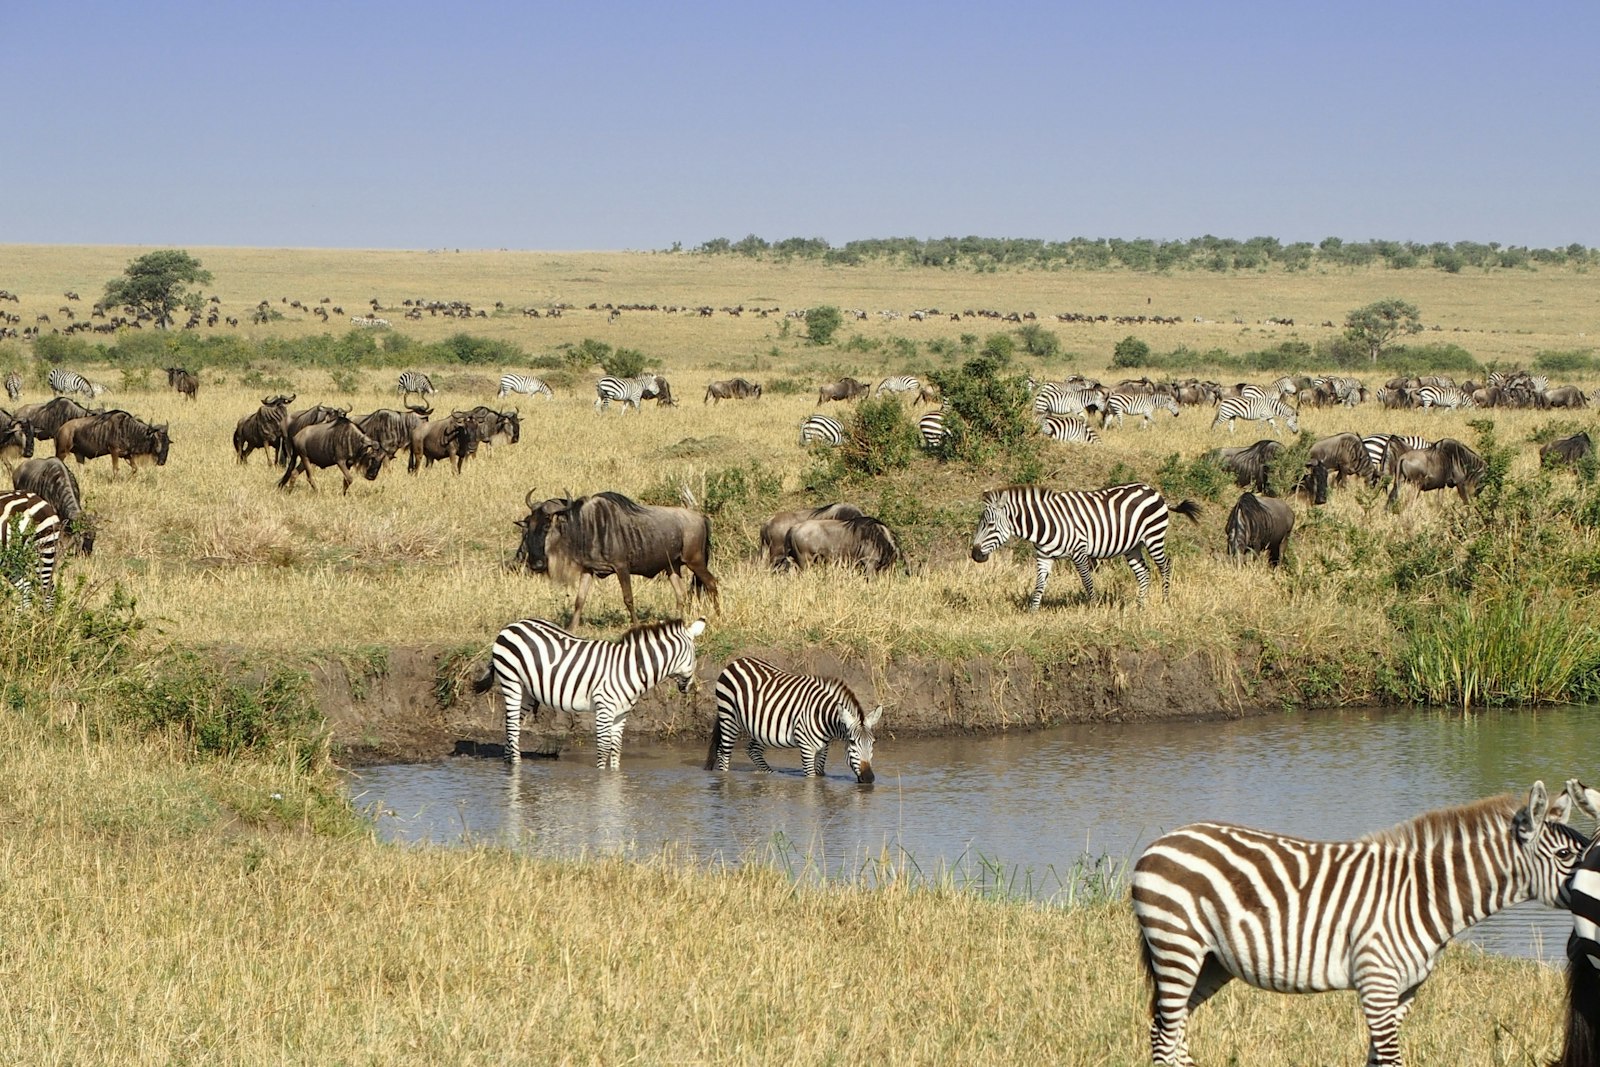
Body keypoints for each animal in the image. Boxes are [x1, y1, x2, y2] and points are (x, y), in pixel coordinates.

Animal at [473, 616, 706, 767]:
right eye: (695, 655)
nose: (689, 687)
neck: (630, 668)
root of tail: (511, 625)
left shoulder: (621, 714)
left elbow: (615, 749)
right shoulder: (605, 709)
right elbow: (603, 749)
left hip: (527, 691)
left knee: (511, 725)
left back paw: (508, 762)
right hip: (511, 681)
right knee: (512, 726)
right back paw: (517, 767)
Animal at [705, 657, 883, 783]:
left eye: (873, 743)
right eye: (852, 742)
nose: (869, 779)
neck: (824, 718)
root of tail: (735, 662)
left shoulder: (823, 748)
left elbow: (820, 774)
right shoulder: (806, 747)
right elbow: (811, 779)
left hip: (761, 728)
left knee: (753, 750)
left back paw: (771, 776)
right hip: (729, 717)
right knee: (724, 754)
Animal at [969, 483, 1201, 609]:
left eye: (990, 525)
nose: (974, 554)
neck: (1046, 523)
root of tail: (1154, 491)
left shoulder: (1079, 552)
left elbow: (1087, 582)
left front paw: (1094, 607)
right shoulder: (1044, 557)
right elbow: (1039, 586)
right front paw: (1032, 613)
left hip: (1154, 537)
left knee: (1165, 566)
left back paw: (1165, 601)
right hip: (1132, 547)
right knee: (1143, 573)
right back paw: (1139, 606)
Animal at [1132, 782, 1586, 1067]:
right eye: (1566, 855)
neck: (1423, 894)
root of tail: (1162, 841)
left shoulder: (1404, 992)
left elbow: (1377, 1059)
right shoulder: (1377, 983)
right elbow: (1392, 1059)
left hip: (1210, 962)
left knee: (1172, 1029)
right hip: (1176, 947)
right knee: (1163, 1036)